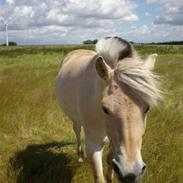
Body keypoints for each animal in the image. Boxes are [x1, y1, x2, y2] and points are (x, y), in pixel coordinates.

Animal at [55, 37, 161, 183]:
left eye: (147, 108)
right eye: (104, 109)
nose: (131, 173)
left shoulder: (114, 141)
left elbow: (110, 159)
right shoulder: (93, 144)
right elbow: (99, 176)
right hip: (75, 119)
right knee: (77, 131)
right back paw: (80, 155)